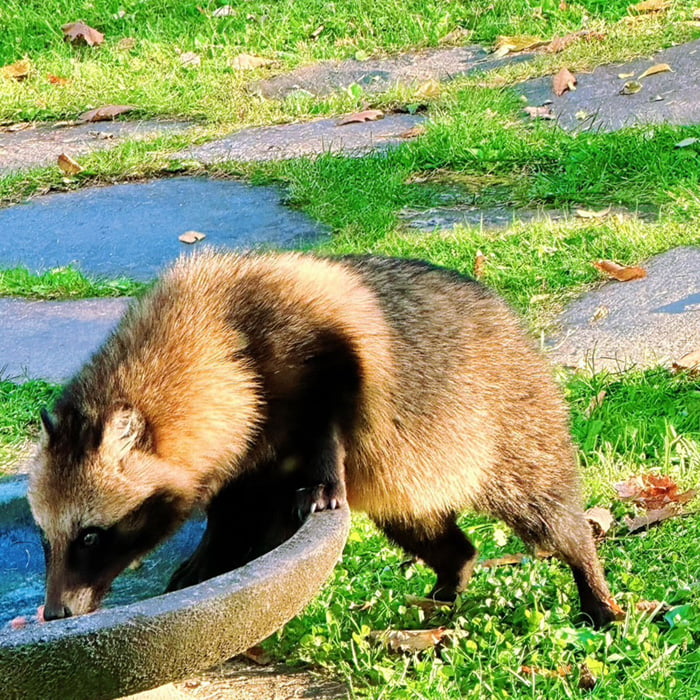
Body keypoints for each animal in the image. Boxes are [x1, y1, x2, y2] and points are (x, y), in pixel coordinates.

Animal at [30, 253, 616, 628]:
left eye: (90, 536)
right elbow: (236, 518)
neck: (215, 338)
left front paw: (324, 473)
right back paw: (454, 572)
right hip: (411, 476)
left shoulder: (312, 342)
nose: (55, 613)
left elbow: (329, 409)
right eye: (44, 539)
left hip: (510, 423)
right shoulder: (243, 456)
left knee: (547, 510)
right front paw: (210, 554)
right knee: (426, 529)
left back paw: (591, 583)